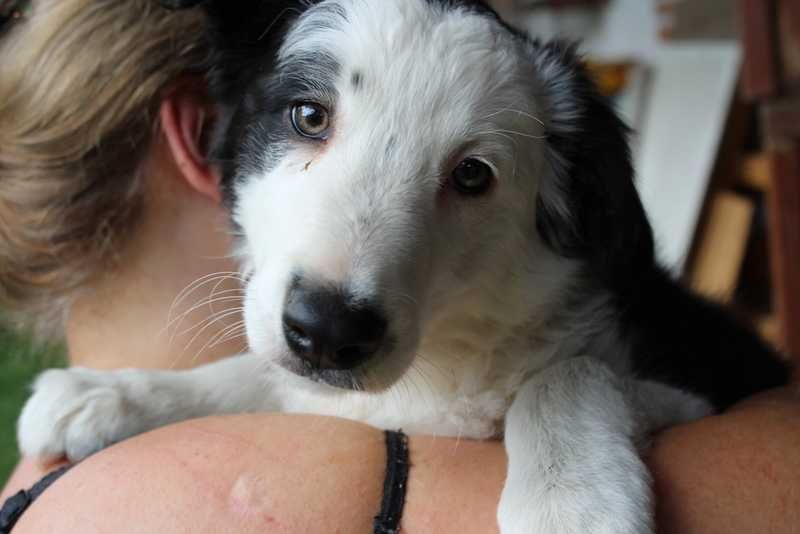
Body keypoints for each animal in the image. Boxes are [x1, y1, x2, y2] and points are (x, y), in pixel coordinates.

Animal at [15, 2, 792, 532]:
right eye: (308, 116)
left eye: (472, 175)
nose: (328, 332)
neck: (443, 359)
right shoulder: (314, 379)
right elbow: (254, 372)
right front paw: (111, 391)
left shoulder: (709, 380)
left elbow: (565, 373)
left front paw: (572, 503)